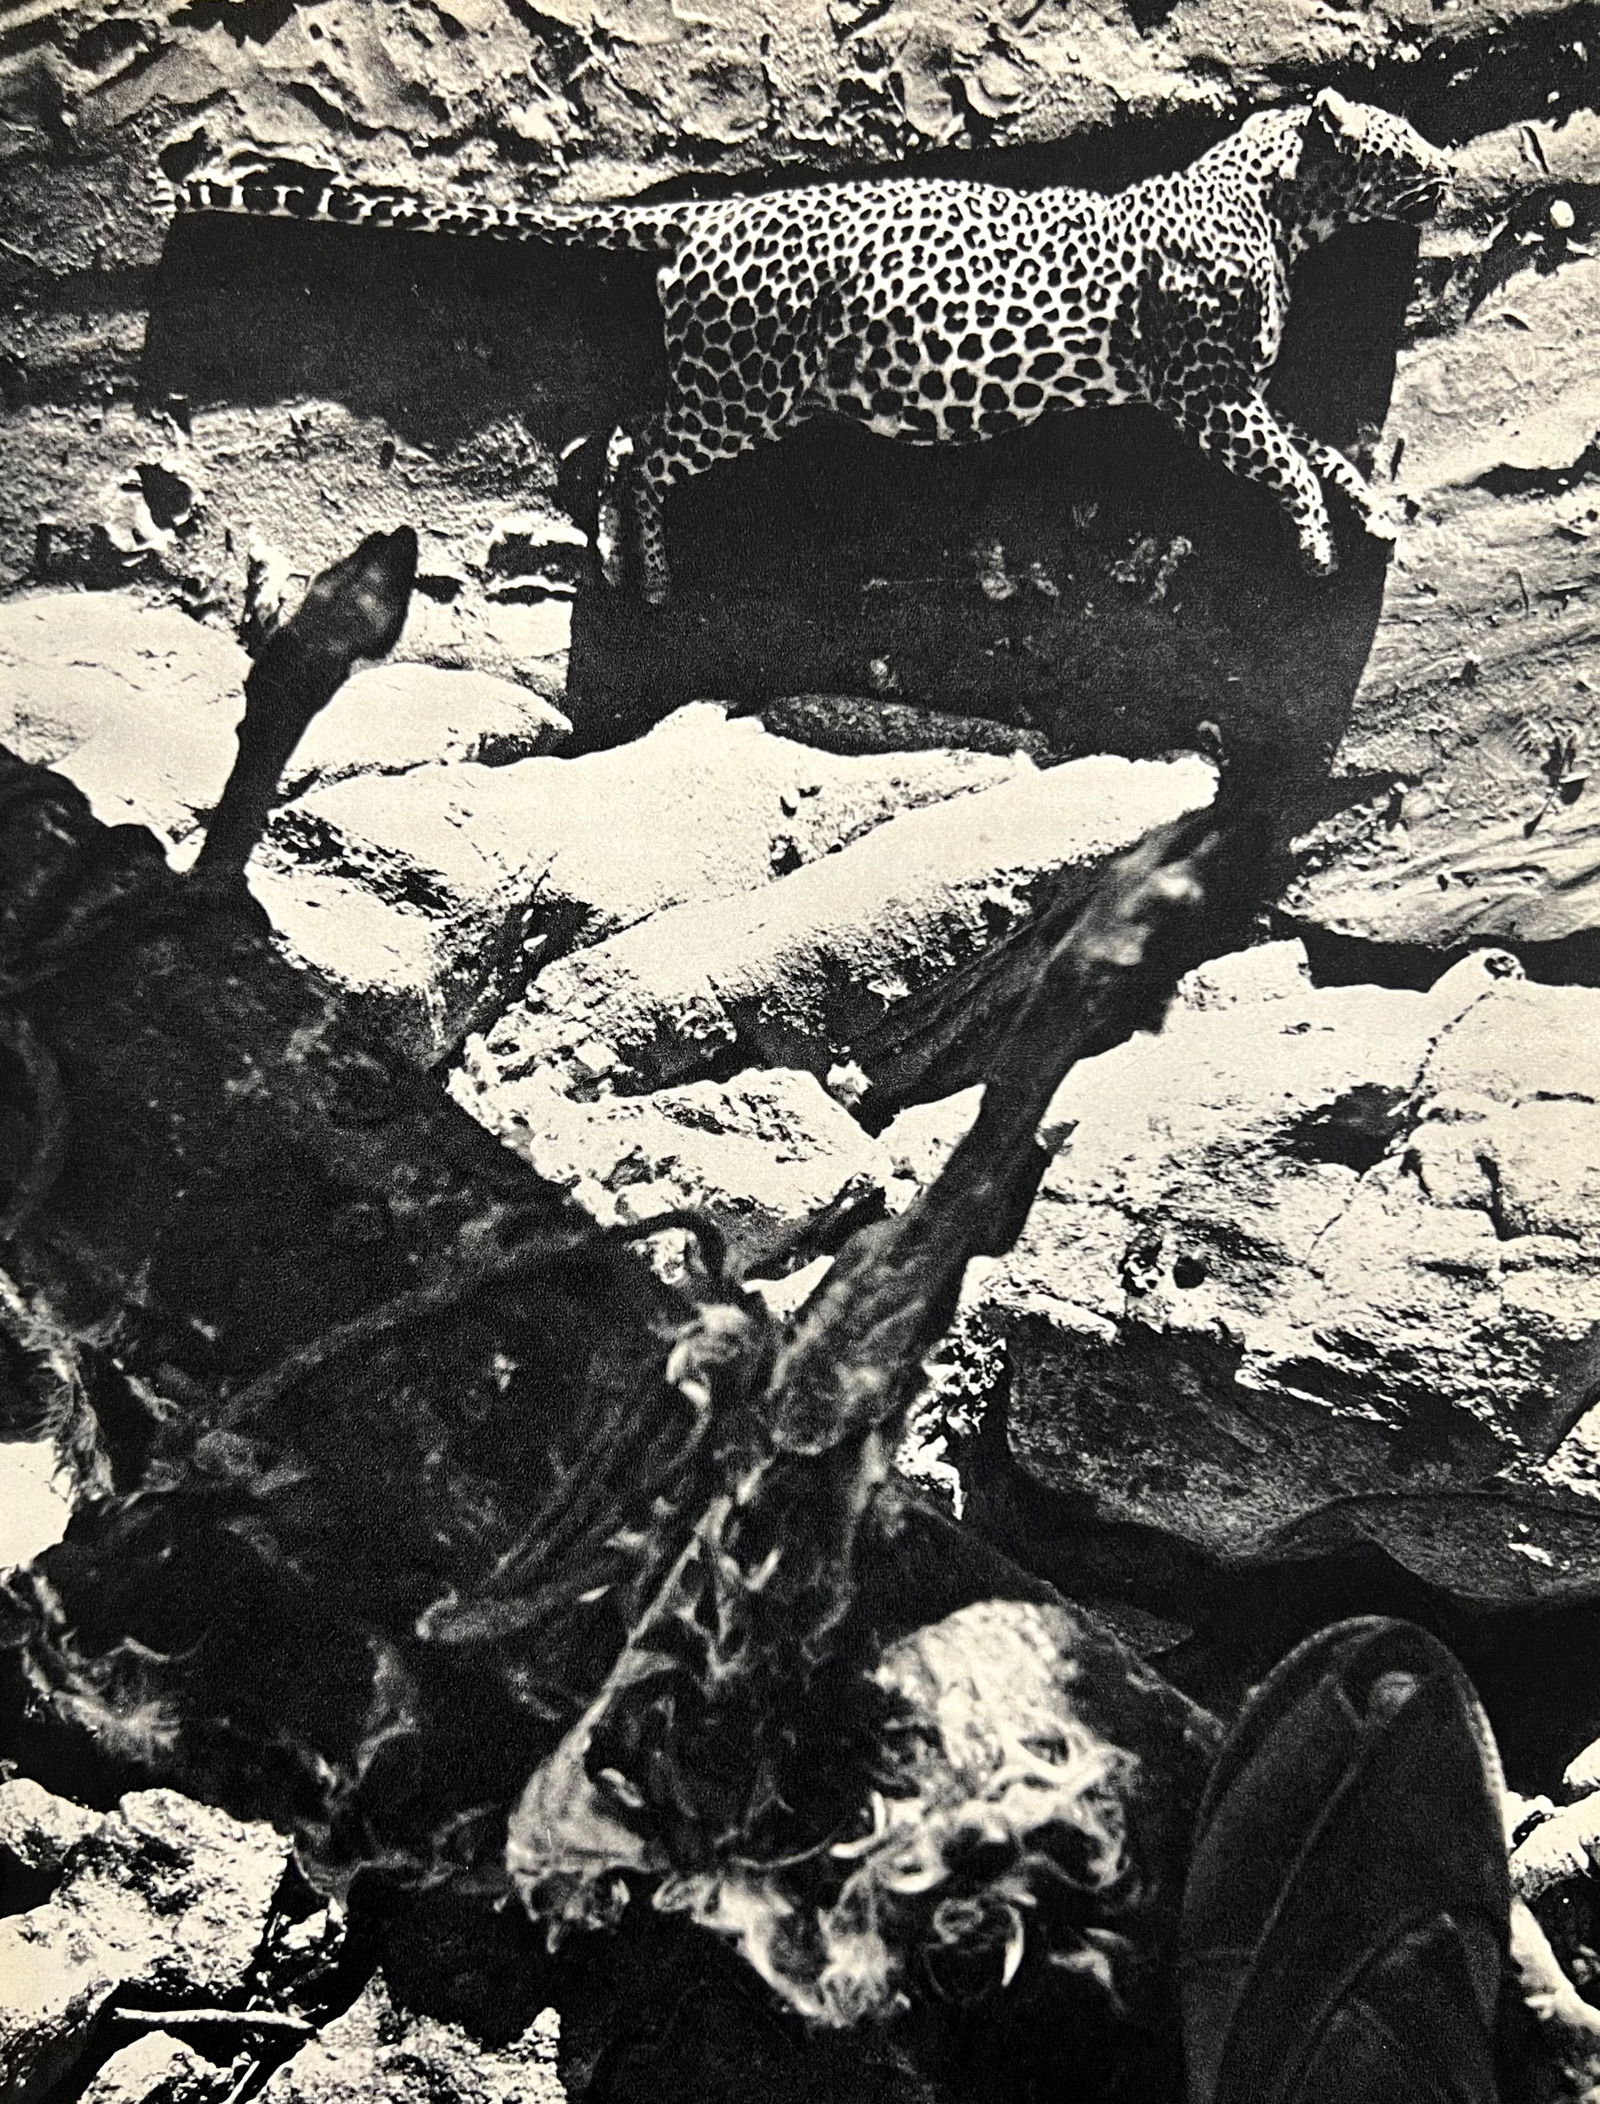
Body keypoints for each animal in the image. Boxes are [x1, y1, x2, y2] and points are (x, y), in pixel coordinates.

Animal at [167, 89, 1449, 606]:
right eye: (1403, 141)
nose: (1448, 168)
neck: (1272, 193)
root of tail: (696, 213)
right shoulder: (1202, 388)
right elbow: (1281, 457)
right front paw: (1318, 547)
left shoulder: (1231, 387)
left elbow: (1314, 439)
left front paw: (1369, 504)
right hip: (748, 391)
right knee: (634, 445)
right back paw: (647, 572)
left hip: (736, 388)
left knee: (620, 435)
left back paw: (632, 564)